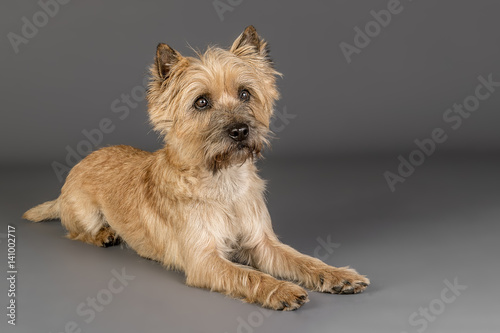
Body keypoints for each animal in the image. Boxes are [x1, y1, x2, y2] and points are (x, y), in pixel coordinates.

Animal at [23, 25, 370, 308]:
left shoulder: (262, 244)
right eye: (201, 102)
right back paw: (104, 235)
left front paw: (336, 274)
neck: (223, 181)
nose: (240, 130)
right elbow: (250, 275)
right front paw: (281, 290)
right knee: (78, 232)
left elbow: (300, 260)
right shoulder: (205, 260)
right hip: (85, 213)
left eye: (245, 93)